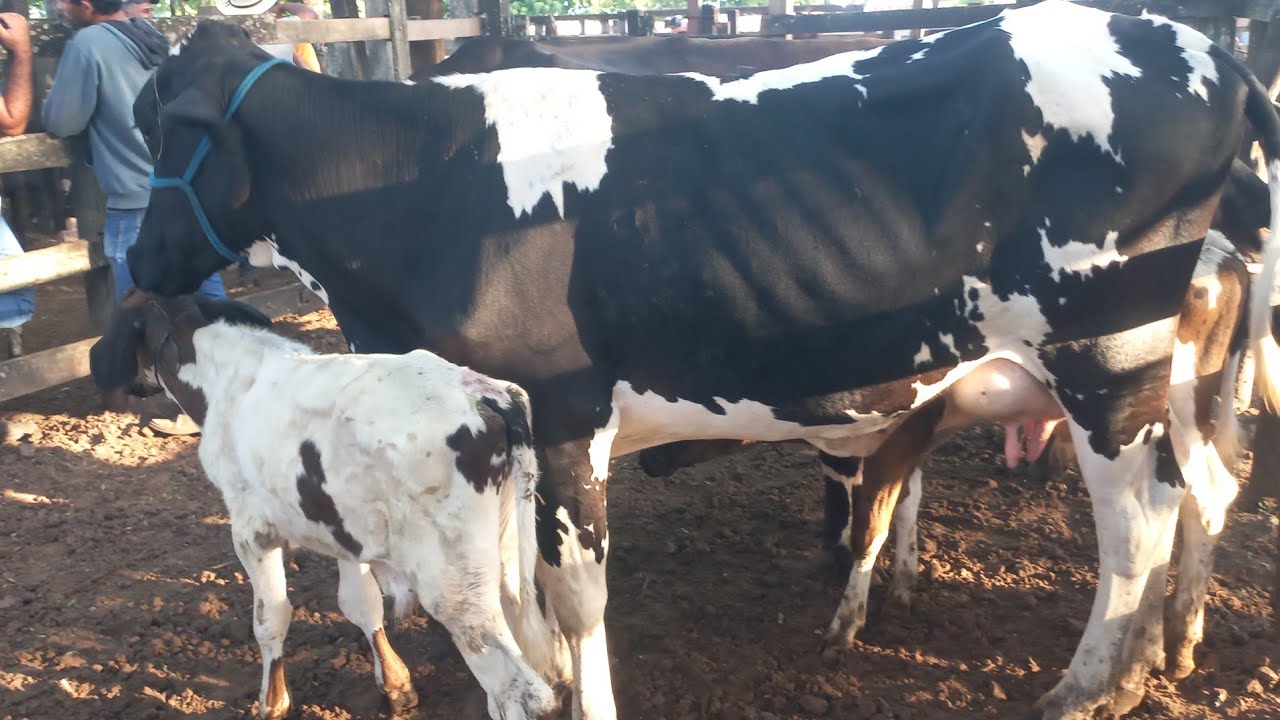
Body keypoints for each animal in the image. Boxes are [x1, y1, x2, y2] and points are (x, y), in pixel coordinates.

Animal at [87, 291, 560, 720]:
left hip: (454, 589)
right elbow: (360, 603)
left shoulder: (251, 531)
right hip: (505, 564)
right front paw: (395, 684)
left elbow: (271, 617)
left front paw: (272, 703)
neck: (231, 380)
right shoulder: (343, 534)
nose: (135, 387)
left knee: (522, 692)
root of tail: (487, 394)